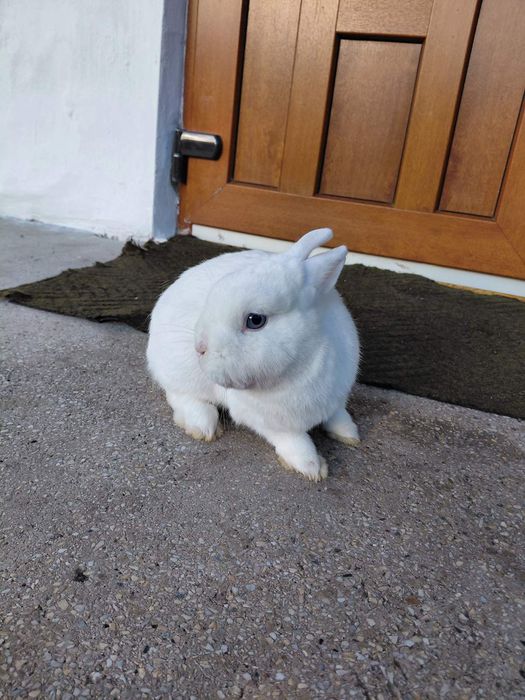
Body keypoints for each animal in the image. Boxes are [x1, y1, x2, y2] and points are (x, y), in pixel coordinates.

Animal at [147, 227, 360, 481]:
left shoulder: (336, 398)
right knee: (178, 394)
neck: (306, 360)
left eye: (255, 320)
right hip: (183, 372)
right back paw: (202, 425)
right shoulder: (270, 421)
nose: (199, 347)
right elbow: (295, 441)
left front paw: (350, 434)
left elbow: (338, 416)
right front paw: (312, 467)